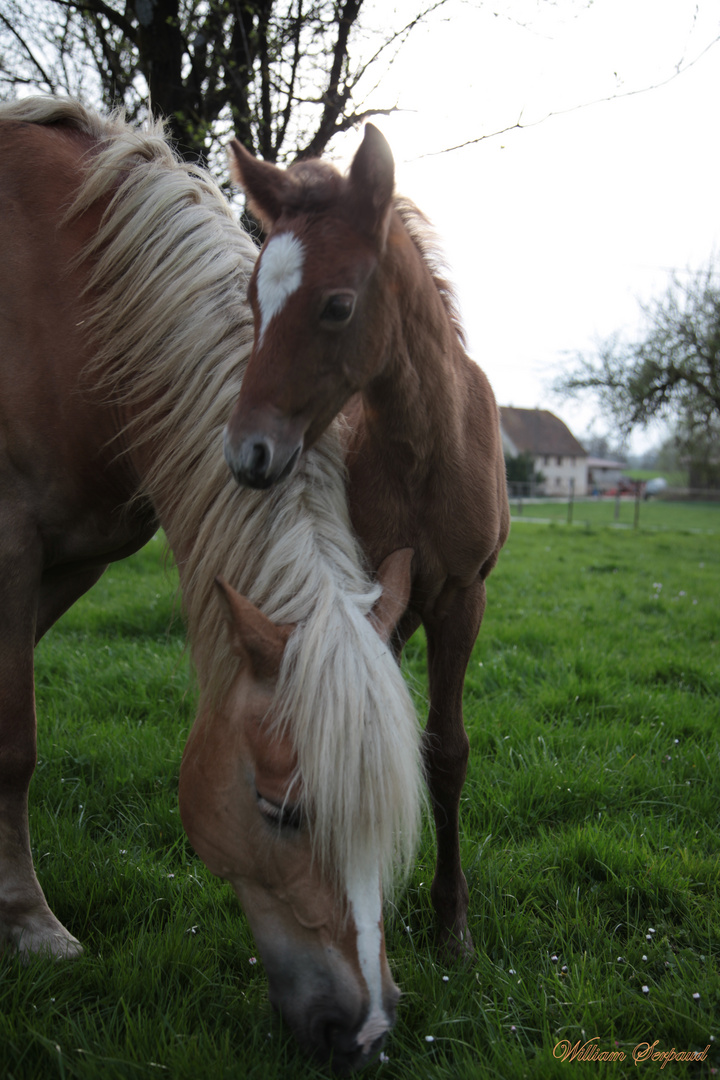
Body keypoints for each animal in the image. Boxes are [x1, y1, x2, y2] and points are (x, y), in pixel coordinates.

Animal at [0, 99, 425, 1071]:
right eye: (280, 811)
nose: (367, 1032)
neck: (67, 299)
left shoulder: (69, 559)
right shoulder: (9, 542)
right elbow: (14, 744)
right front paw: (31, 925)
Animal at [225, 122, 511, 959]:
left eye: (337, 305)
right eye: (255, 298)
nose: (248, 455)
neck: (424, 448)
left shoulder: (461, 596)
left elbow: (446, 750)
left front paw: (452, 922)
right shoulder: (375, 590)